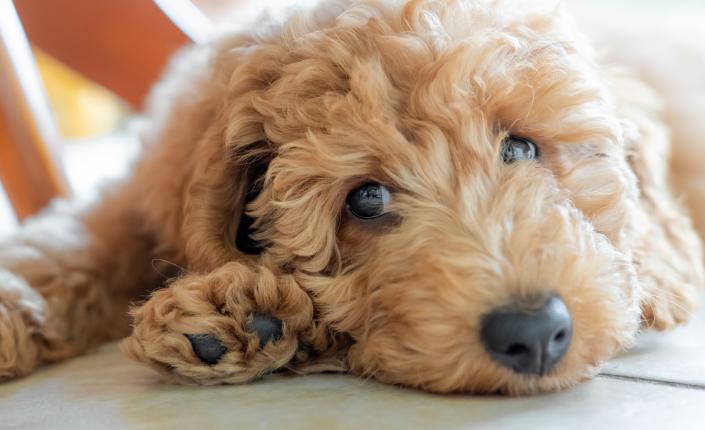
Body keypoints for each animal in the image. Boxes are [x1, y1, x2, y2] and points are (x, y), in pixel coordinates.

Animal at [1, 0, 704, 396]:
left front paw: (240, 312)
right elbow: (82, 238)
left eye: (523, 149)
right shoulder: (148, 181)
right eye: (364, 198)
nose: (532, 334)